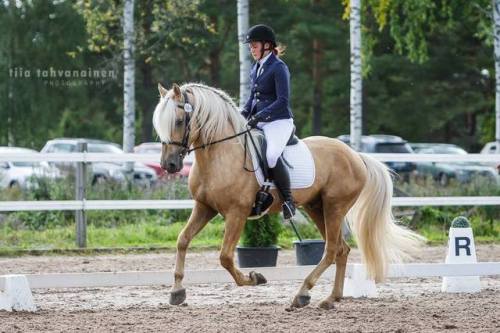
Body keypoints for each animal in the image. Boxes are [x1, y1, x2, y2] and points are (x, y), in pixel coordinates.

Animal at [151, 81, 422, 308]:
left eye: (178, 121)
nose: (169, 165)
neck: (220, 154)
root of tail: (356, 155)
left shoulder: (236, 213)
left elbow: (226, 257)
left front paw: (255, 277)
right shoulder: (204, 207)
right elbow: (183, 240)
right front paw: (177, 291)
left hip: (334, 207)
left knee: (331, 250)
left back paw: (302, 294)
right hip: (316, 208)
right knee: (341, 250)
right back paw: (331, 298)